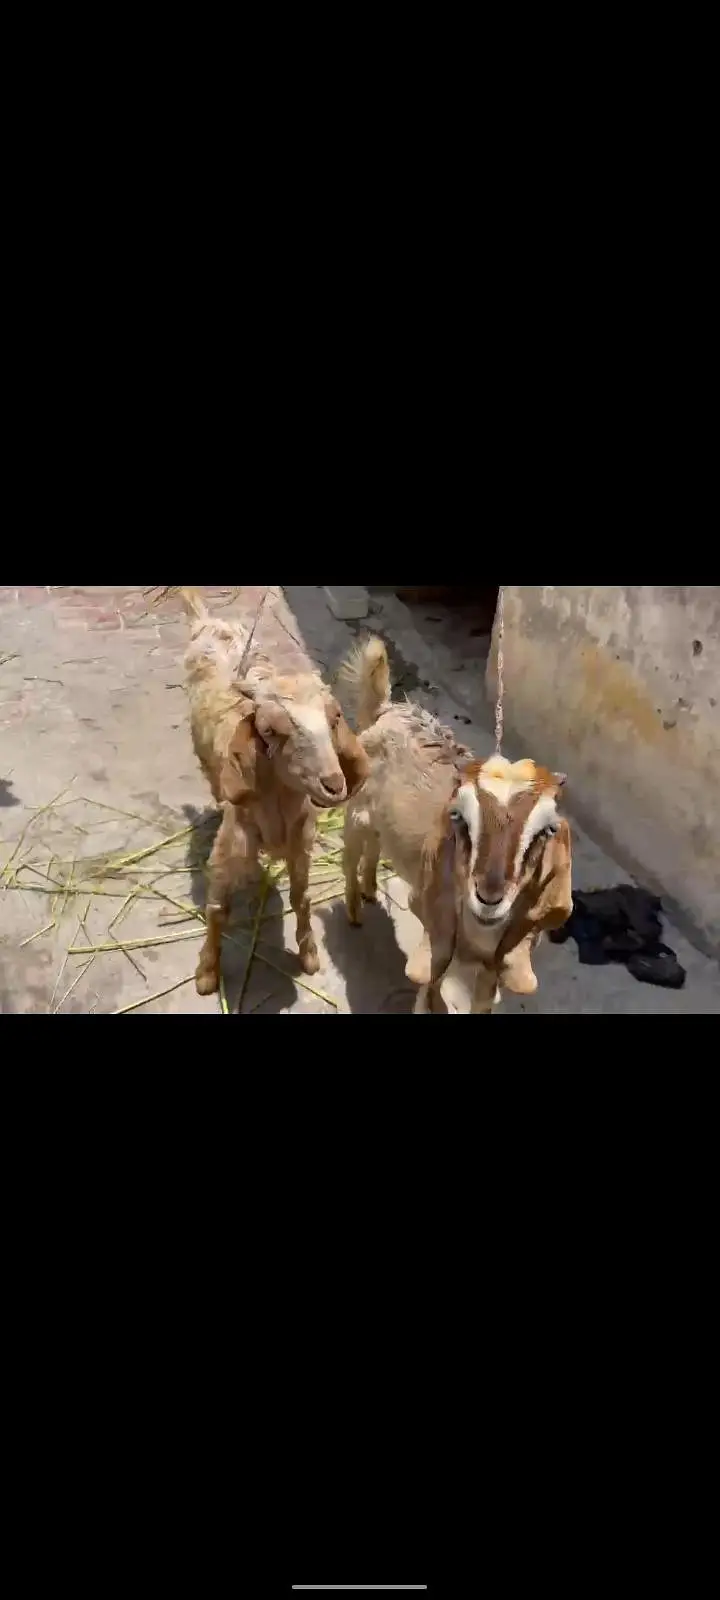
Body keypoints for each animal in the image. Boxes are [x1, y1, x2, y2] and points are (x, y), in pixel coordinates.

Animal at [175, 588, 369, 996]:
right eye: (269, 731)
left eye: (334, 719)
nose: (334, 784)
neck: (276, 805)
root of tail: (209, 621)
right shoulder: (231, 846)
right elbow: (217, 909)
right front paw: (207, 973)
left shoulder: (301, 844)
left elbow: (302, 897)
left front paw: (309, 953)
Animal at [340, 637, 573, 1013]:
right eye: (459, 816)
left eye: (547, 829)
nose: (489, 896)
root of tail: (387, 708)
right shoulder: (437, 935)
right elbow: (430, 990)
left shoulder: (495, 963)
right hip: (356, 811)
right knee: (350, 856)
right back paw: (354, 912)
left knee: (376, 844)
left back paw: (371, 890)